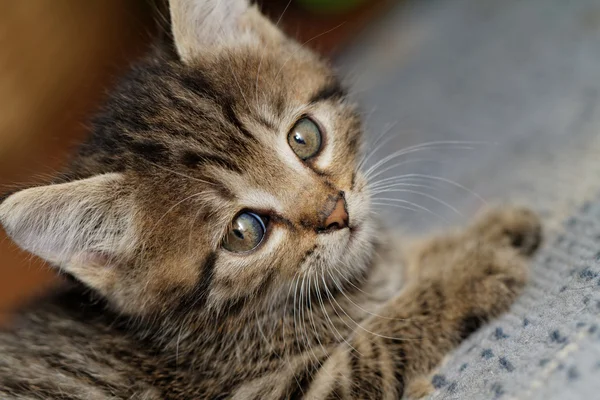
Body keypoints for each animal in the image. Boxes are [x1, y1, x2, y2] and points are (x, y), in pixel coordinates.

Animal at [0, 1, 544, 398]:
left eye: (304, 137)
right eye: (244, 232)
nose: (336, 212)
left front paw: (477, 236)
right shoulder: (275, 393)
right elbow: (371, 344)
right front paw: (470, 273)